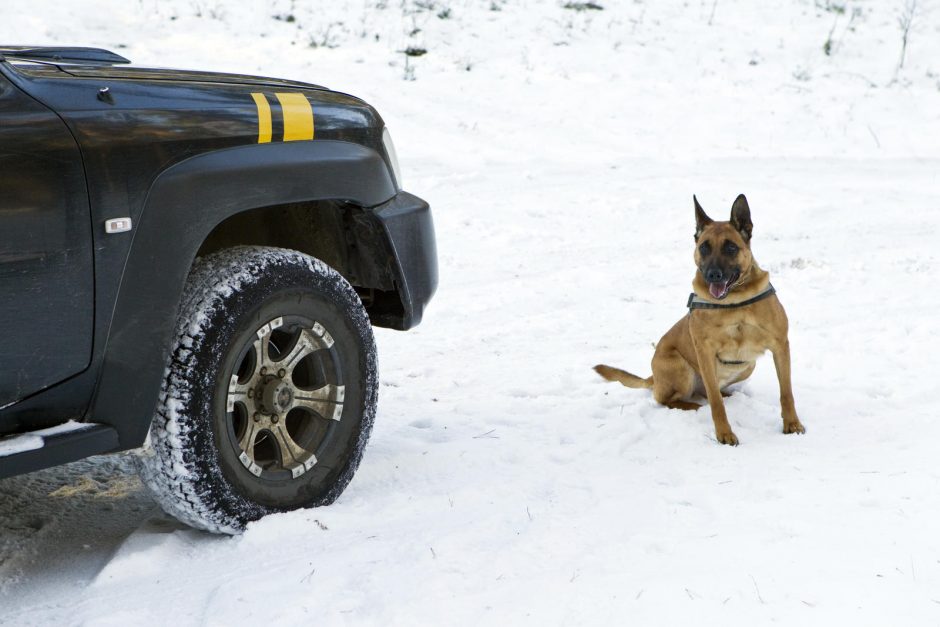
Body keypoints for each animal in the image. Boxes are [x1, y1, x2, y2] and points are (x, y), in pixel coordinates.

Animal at [600, 194, 804, 444]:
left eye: (730, 247)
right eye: (704, 248)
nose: (712, 275)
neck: (733, 301)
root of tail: (653, 378)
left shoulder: (780, 345)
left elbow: (786, 392)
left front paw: (792, 423)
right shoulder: (704, 351)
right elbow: (715, 402)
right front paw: (724, 433)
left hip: (747, 366)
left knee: (706, 391)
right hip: (681, 368)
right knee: (671, 399)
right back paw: (694, 406)